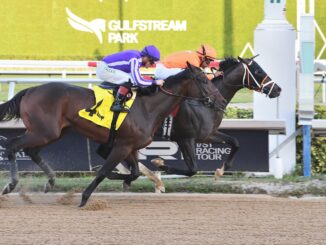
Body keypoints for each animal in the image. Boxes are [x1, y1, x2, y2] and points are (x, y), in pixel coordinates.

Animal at [0, 64, 222, 206]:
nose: (219, 100)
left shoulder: (130, 147)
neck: (148, 107)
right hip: (44, 131)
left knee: (31, 151)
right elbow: (104, 172)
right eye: (203, 80)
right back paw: (10, 185)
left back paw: (50, 182)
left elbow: (134, 172)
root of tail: (29, 91)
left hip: (53, 132)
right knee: (12, 145)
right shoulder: (122, 146)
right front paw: (84, 198)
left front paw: (126, 179)